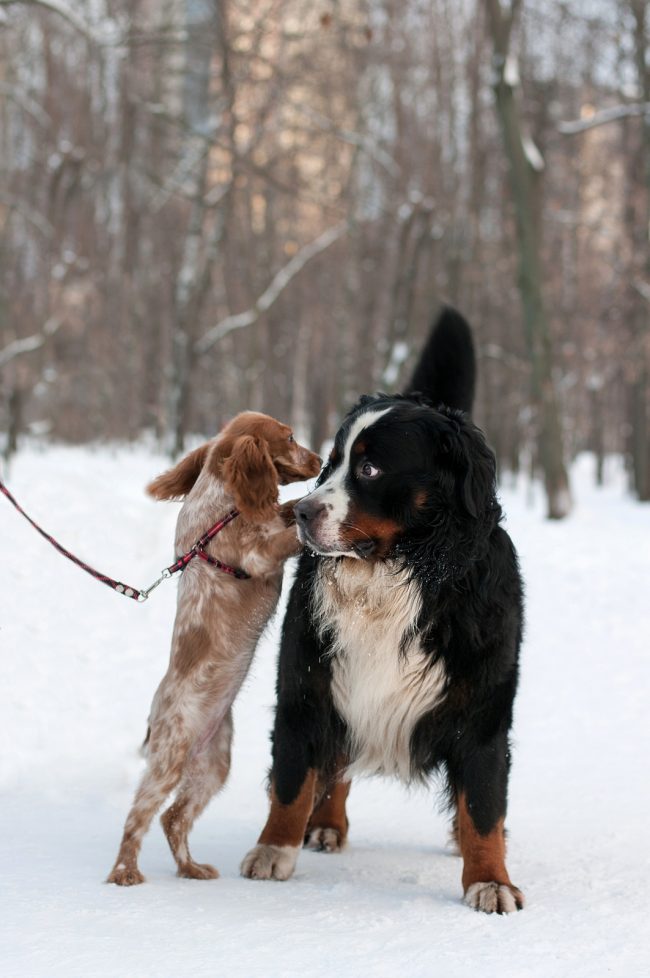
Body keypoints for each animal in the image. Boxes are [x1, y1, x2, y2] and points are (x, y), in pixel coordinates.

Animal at [240, 308, 524, 912]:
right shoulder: (308, 680)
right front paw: (274, 849)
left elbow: (484, 805)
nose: (300, 513)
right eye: (329, 465)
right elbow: (293, 778)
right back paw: (325, 824)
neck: (391, 574)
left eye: (369, 470)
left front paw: (490, 878)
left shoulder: (482, 708)